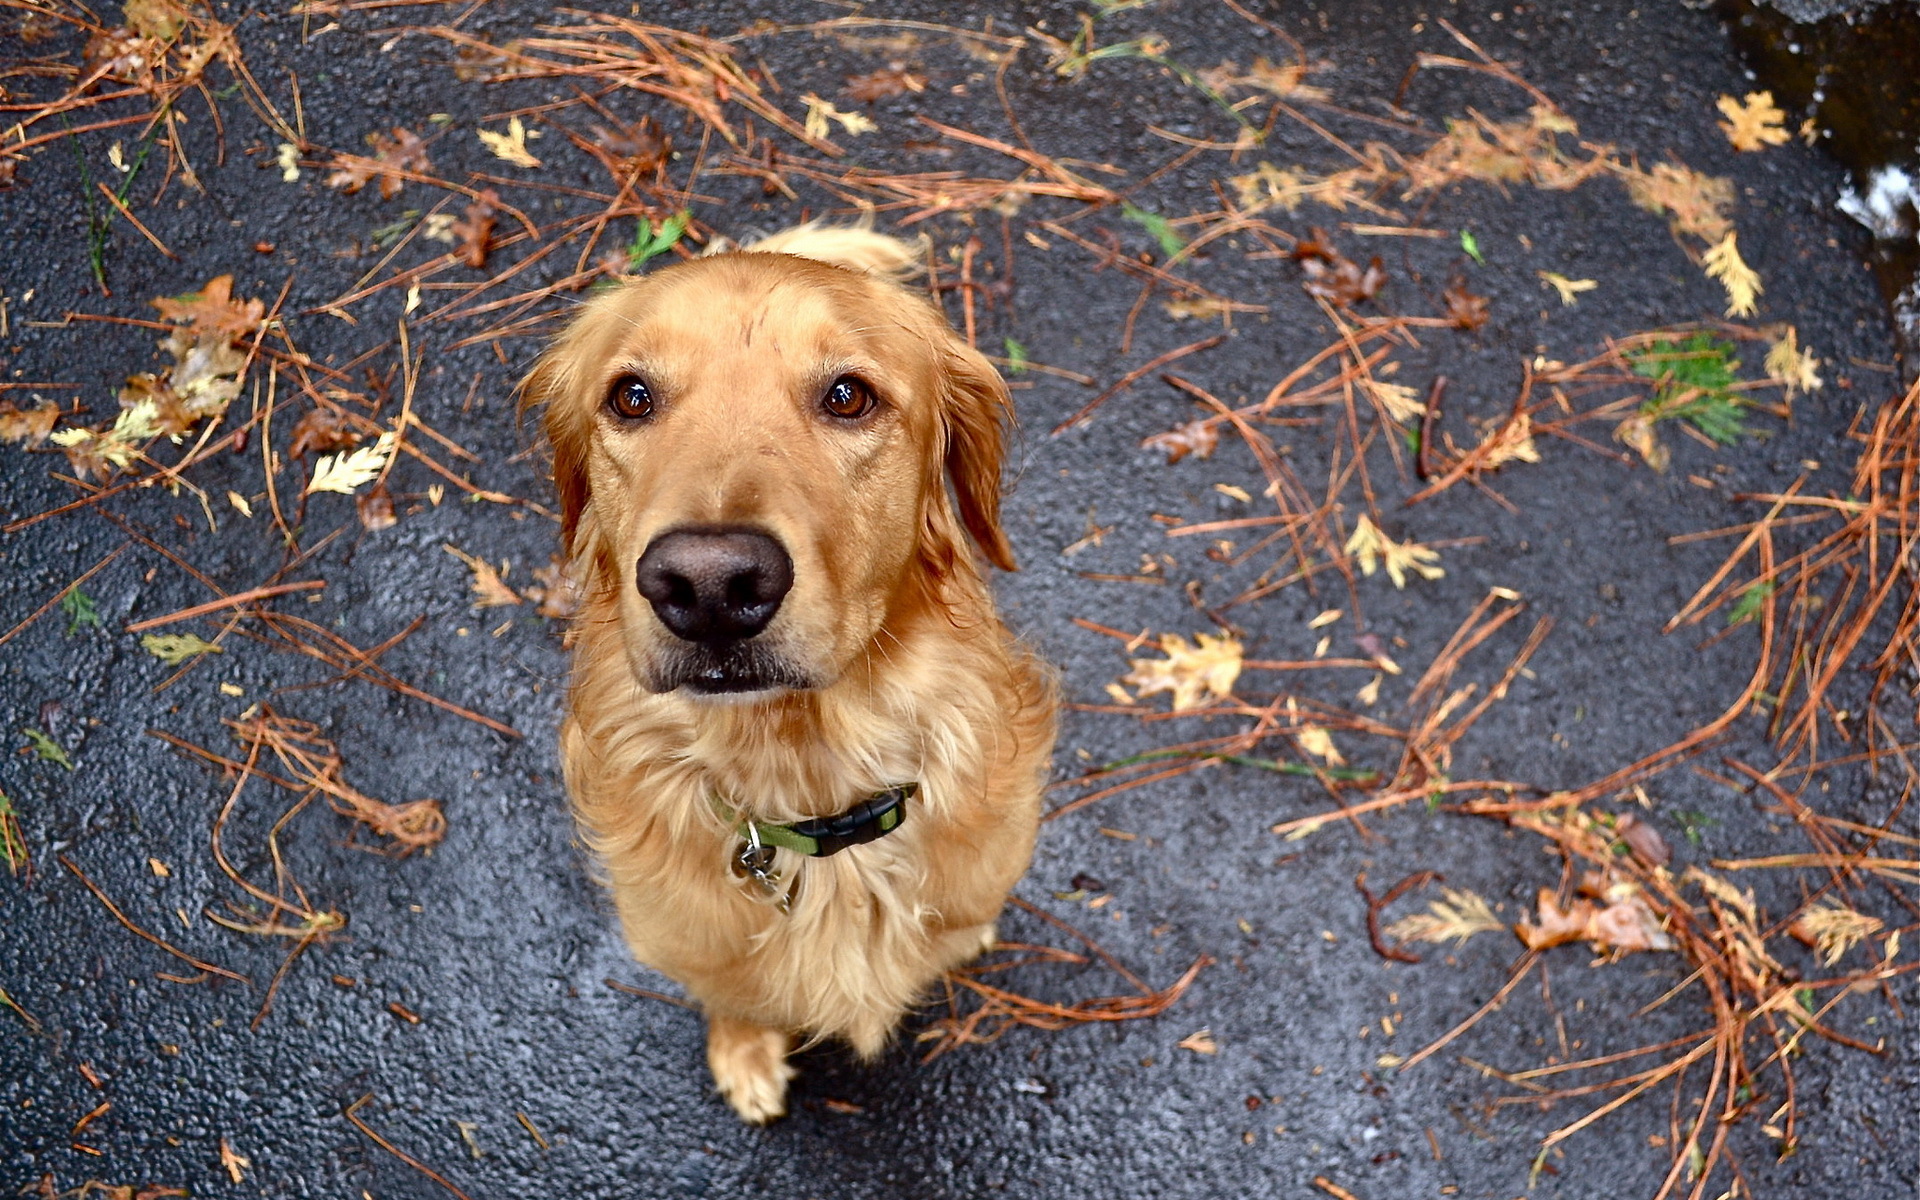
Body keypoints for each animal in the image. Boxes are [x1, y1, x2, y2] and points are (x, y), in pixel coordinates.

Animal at [522, 224, 1052, 1121]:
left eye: (848, 396)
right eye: (631, 397)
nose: (707, 584)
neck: (804, 776)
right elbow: (736, 997)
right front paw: (744, 1052)